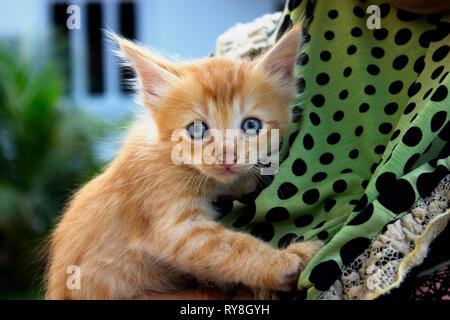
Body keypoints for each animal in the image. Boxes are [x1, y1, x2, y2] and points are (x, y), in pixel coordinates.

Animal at [44, 28, 322, 300]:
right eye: (197, 129)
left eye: (251, 125)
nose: (226, 156)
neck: (166, 154)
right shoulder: (173, 222)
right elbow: (229, 247)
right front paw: (286, 260)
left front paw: (244, 180)